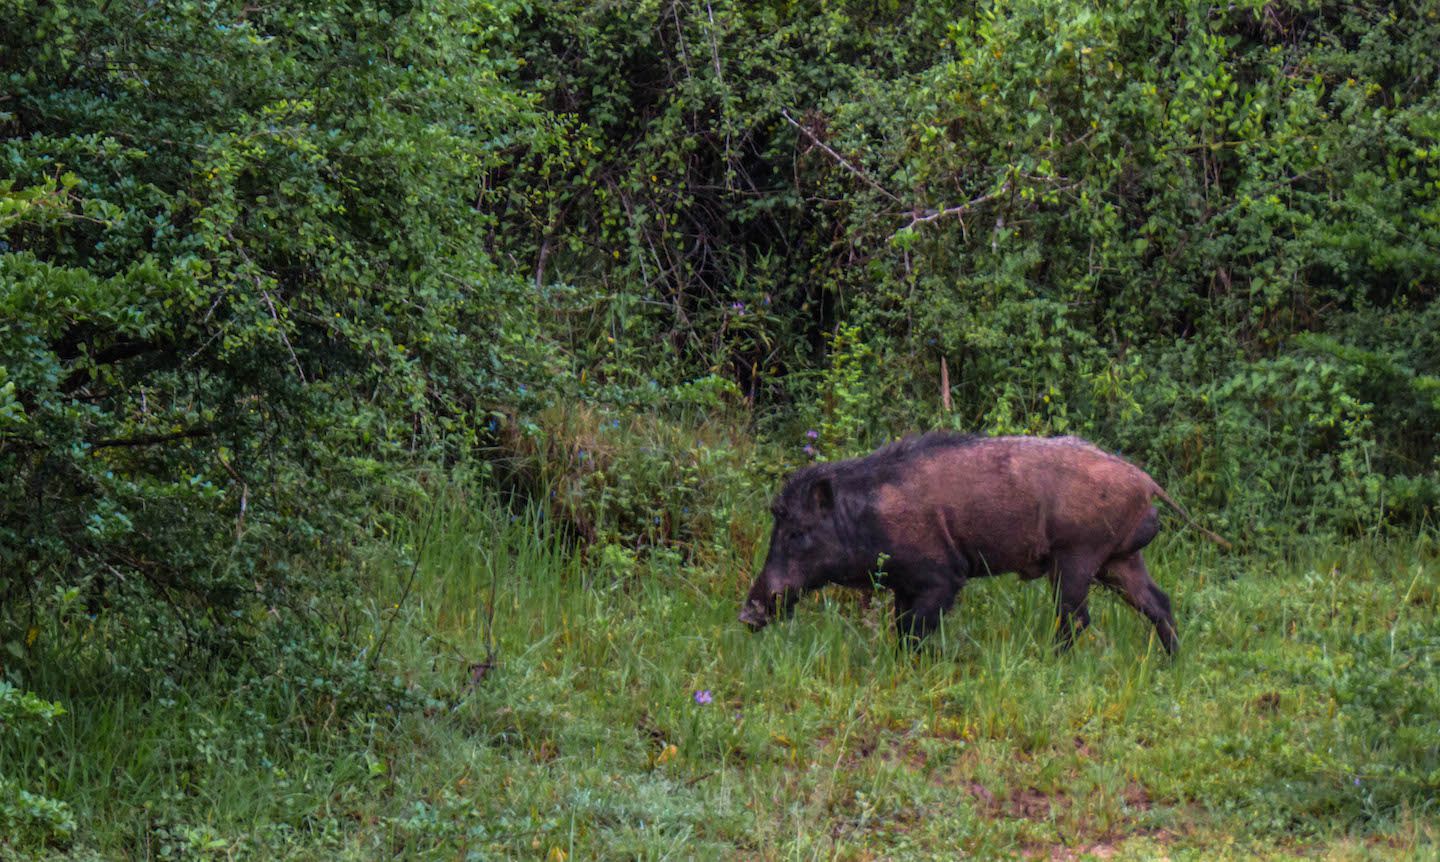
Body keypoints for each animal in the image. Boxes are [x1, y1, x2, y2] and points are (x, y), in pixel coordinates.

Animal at [738, 433, 1231, 654]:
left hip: (1078, 558)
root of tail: (1147, 483)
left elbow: (912, 631)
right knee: (1159, 603)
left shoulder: (942, 578)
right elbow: (901, 625)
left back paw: (1052, 661)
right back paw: (1172, 662)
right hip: (1120, 560)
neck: (864, 516)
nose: (748, 613)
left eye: (797, 532)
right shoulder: (904, 585)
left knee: (1076, 618)